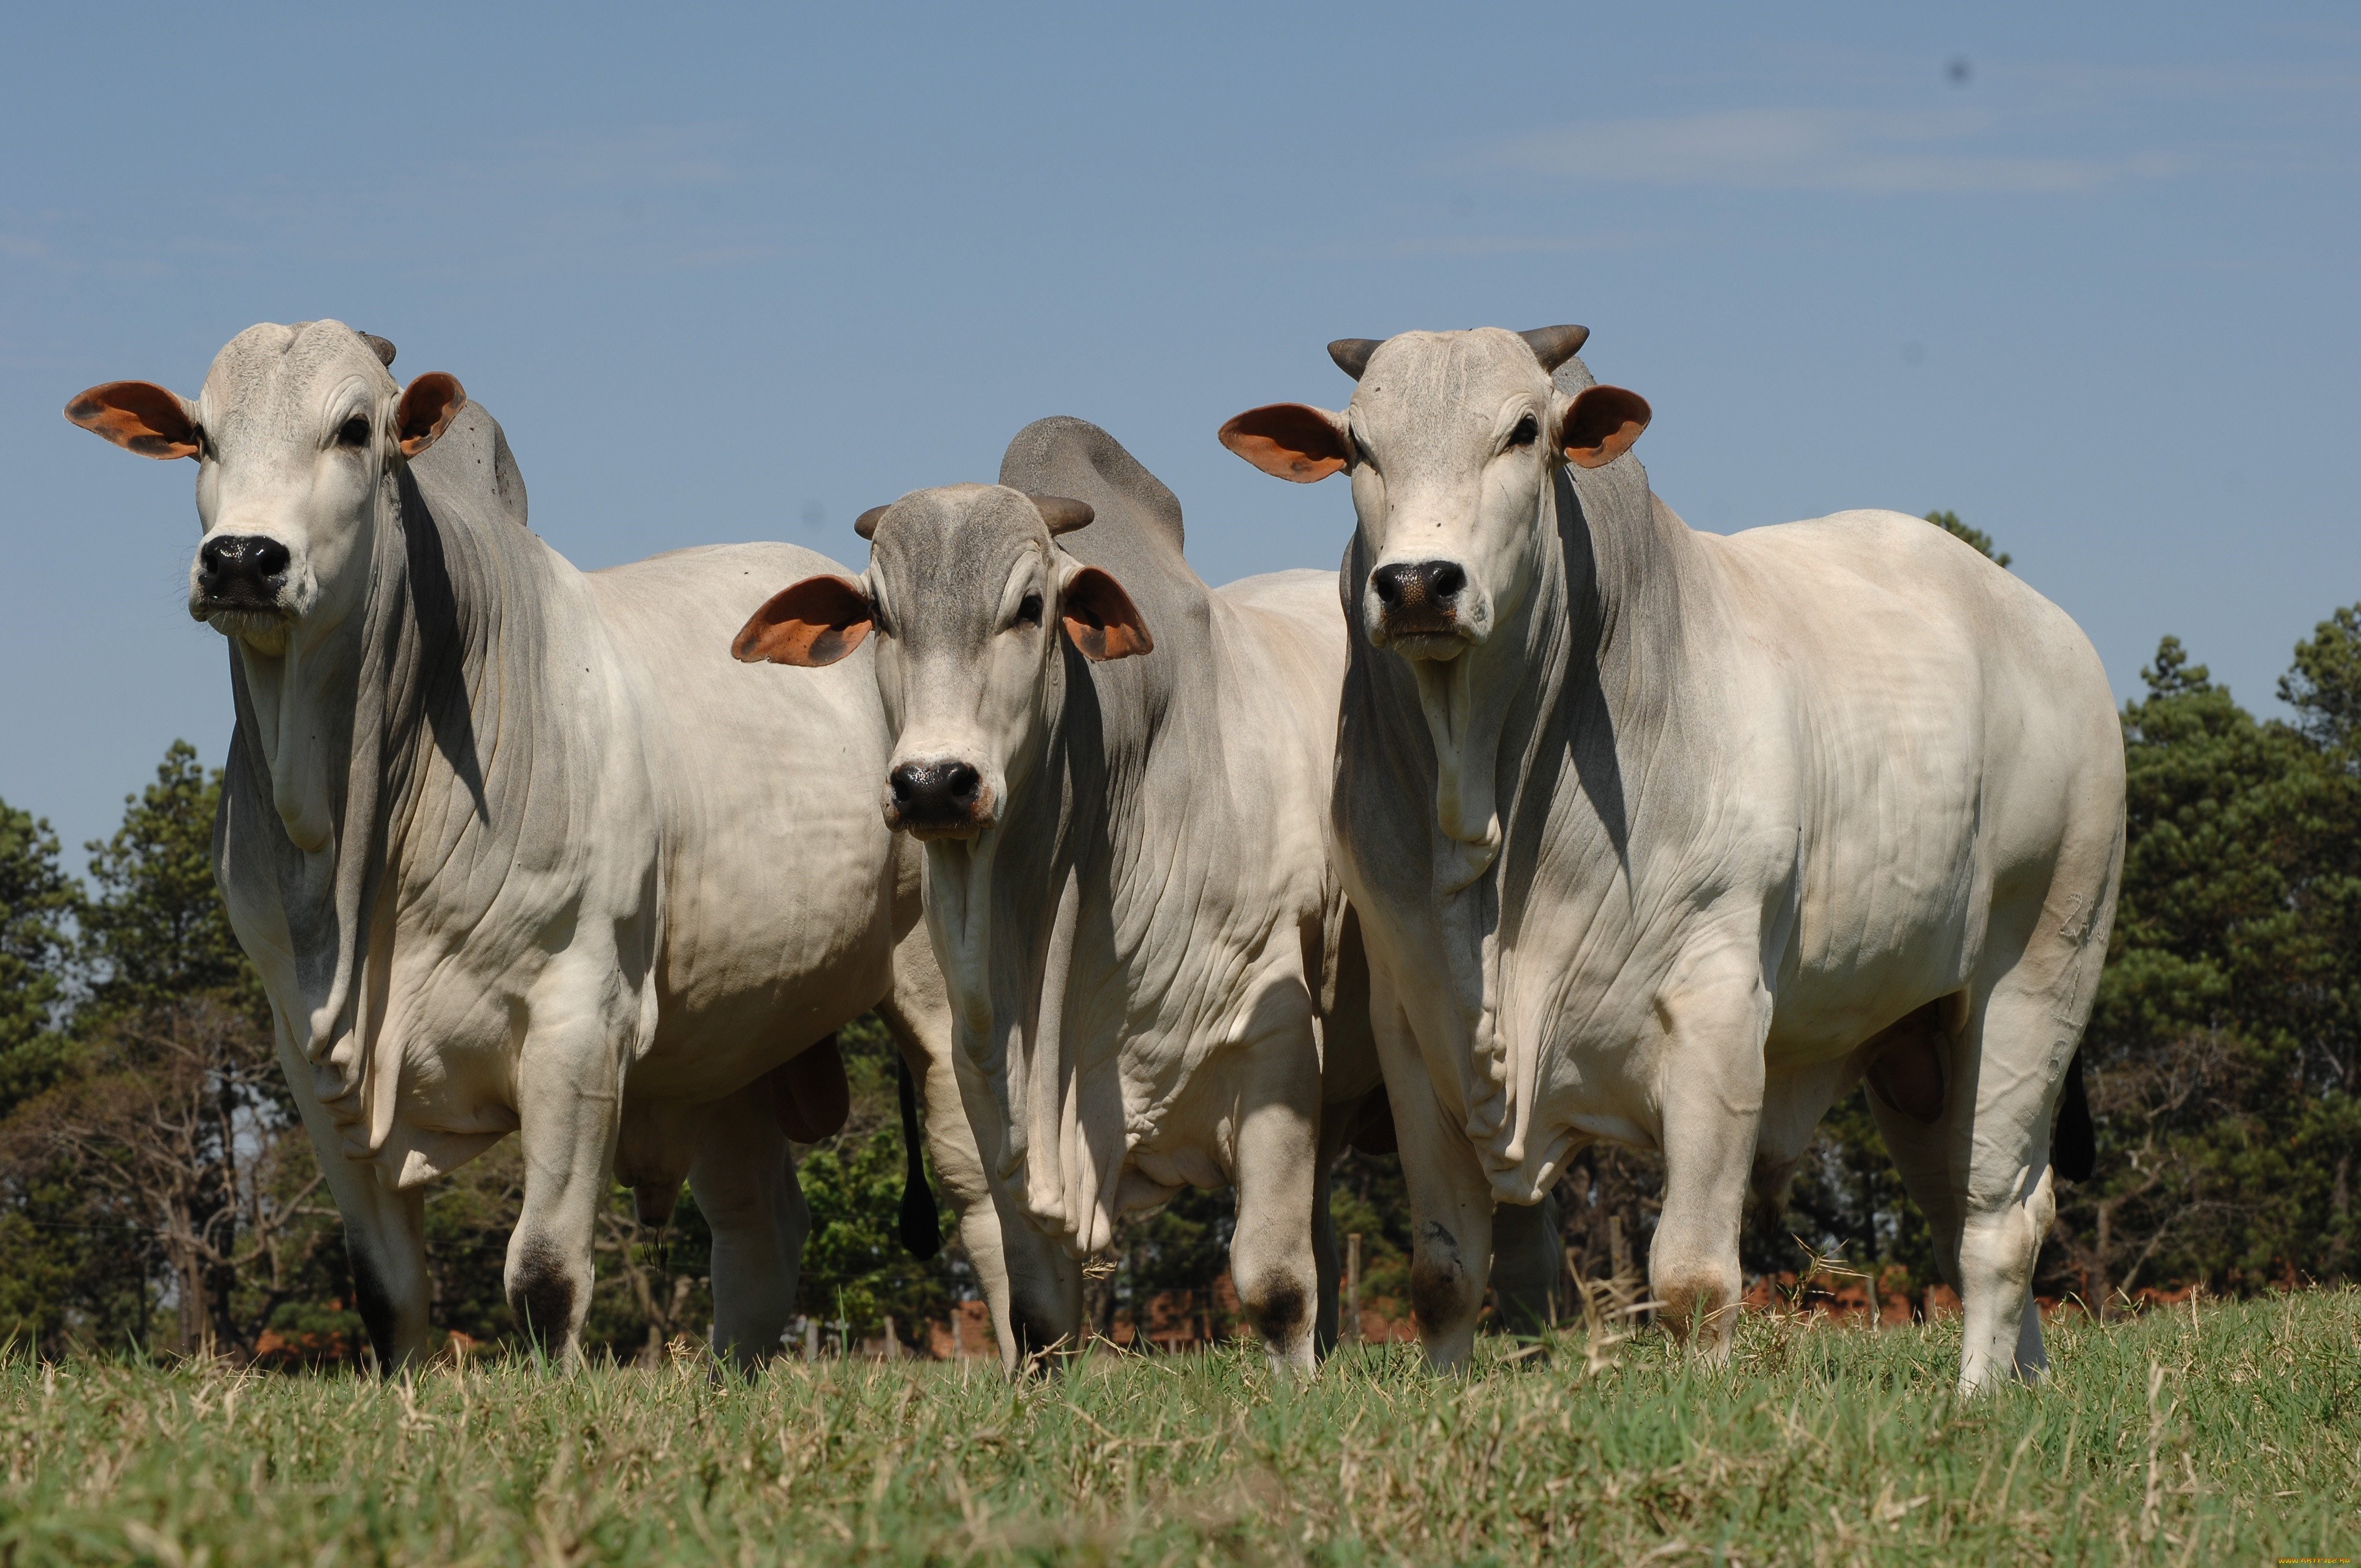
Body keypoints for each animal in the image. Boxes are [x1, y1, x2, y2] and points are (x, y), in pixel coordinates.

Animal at [64, 323, 1076, 1369]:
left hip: (940, 999)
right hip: (728, 1039)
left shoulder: (578, 1019)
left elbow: (544, 1272)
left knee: (985, 1200)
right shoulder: (309, 1053)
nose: (242, 559)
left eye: (354, 429)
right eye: (202, 437)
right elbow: (386, 1293)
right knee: (761, 1227)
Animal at [736, 420, 1379, 1369]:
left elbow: (1274, 1283)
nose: (933, 783)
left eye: (1030, 606)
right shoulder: (987, 1090)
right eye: (880, 616)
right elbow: (1037, 1316)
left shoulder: (1277, 1044)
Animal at [1218, 328, 2125, 1389]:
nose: (1415, 584)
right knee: (1977, 1203)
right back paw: (2026, 1379)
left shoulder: (1717, 1013)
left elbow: (1691, 1276)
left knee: (1997, 1223)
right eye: (1358, 445)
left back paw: (1977, 1392)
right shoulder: (1414, 1028)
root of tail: (2053, 633)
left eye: (1524, 431)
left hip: (2039, 973)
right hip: (1921, 1043)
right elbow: (1443, 1274)